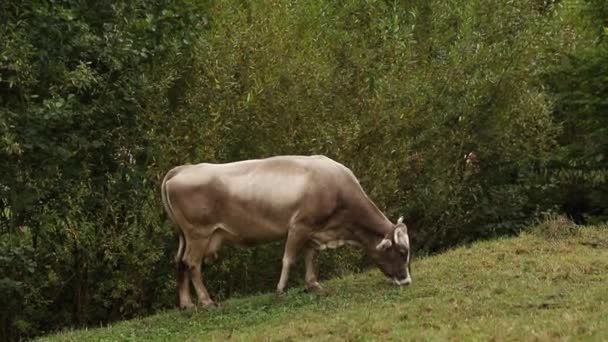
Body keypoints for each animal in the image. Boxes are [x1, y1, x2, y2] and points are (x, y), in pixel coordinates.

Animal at [160, 154, 414, 308]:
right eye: (402, 252)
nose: (407, 280)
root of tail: (181, 170)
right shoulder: (299, 226)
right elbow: (289, 259)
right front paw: (281, 290)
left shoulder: (314, 231)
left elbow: (311, 257)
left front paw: (313, 285)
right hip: (199, 233)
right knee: (192, 263)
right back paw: (206, 301)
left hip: (184, 236)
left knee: (179, 262)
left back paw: (186, 304)